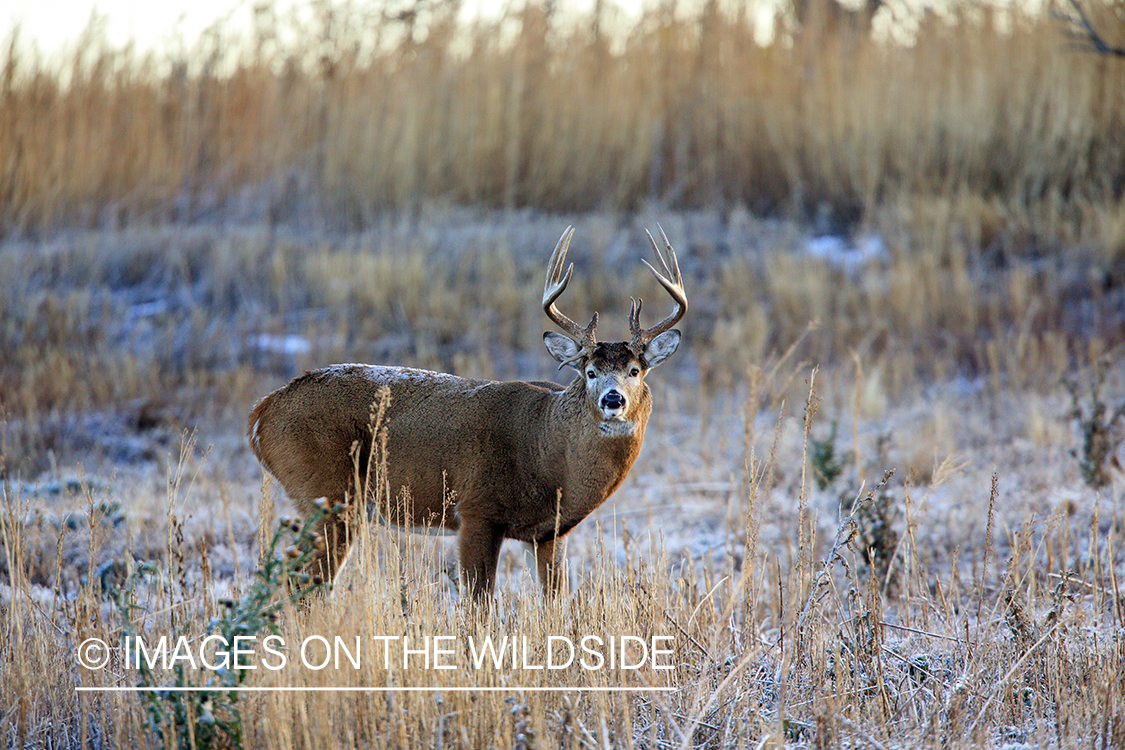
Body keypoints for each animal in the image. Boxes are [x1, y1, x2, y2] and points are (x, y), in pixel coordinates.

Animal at [247, 226, 684, 602]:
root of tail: (260, 413)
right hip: (328, 494)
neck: (547, 451)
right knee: (304, 581)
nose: (613, 400)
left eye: (635, 370)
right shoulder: (477, 509)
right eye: (589, 371)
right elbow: (478, 604)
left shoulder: (548, 533)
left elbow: (554, 602)